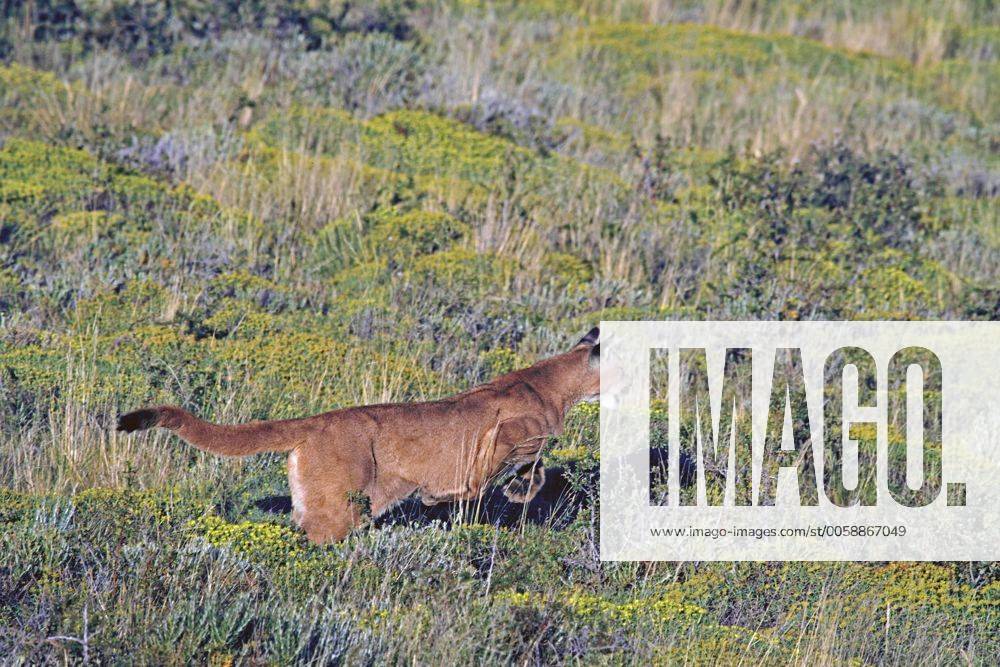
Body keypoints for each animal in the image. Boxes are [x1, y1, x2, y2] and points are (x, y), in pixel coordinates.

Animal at [117, 327, 600, 543]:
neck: (555, 385)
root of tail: (317, 419)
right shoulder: (507, 432)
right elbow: (507, 467)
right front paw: (449, 497)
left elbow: (533, 466)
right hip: (340, 507)